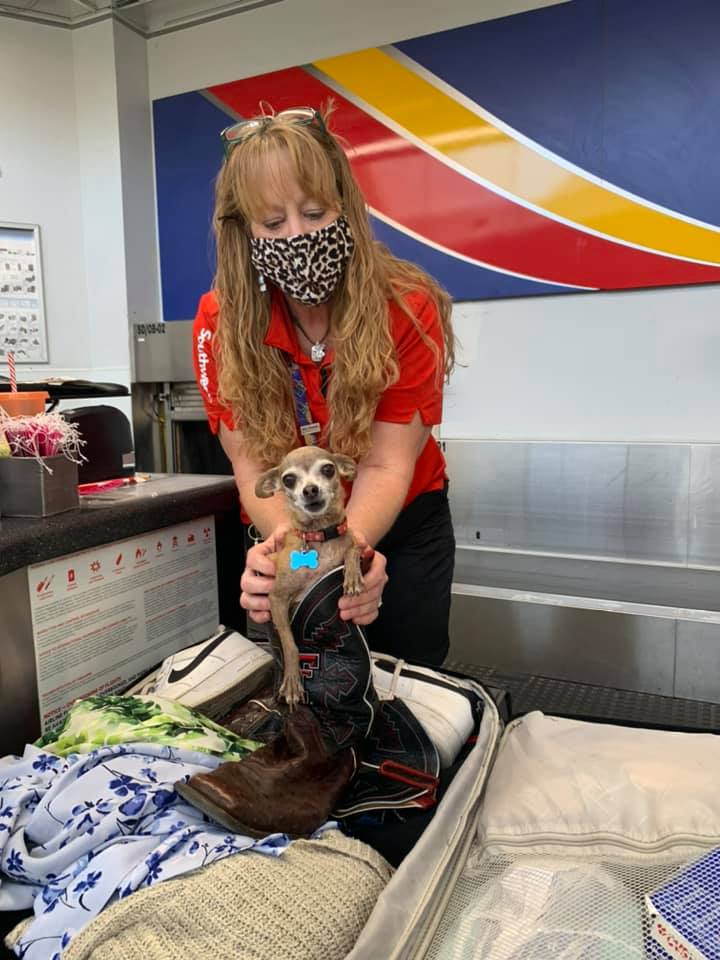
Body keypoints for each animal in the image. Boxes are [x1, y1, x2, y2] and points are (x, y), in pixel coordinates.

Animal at [255, 446, 366, 708]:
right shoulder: (276, 599)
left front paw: (353, 576)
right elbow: (290, 645)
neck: (319, 536)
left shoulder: (350, 542)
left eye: (328, 469)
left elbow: (353, 548)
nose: (310, 490)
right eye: (288, 479)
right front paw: (293, 682)